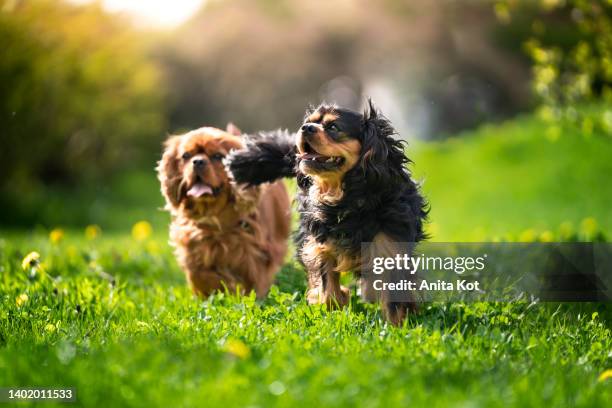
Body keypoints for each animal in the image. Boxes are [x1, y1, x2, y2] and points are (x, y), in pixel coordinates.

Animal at [158, 127, 292, 300]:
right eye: (186, 156)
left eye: (218, 156)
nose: (198, 161)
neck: (215, 218)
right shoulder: (194, 244)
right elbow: (200, 274)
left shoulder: (257, 251)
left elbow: (256, 278)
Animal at [227, 99, 428, 326]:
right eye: (309, 122)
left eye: (333, 127)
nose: (305, 128)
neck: (344, 198)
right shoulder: (319, 245)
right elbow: (327, 287)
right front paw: (334, 306)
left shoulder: (391, 247)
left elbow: (395, 298)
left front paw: (398, 327)